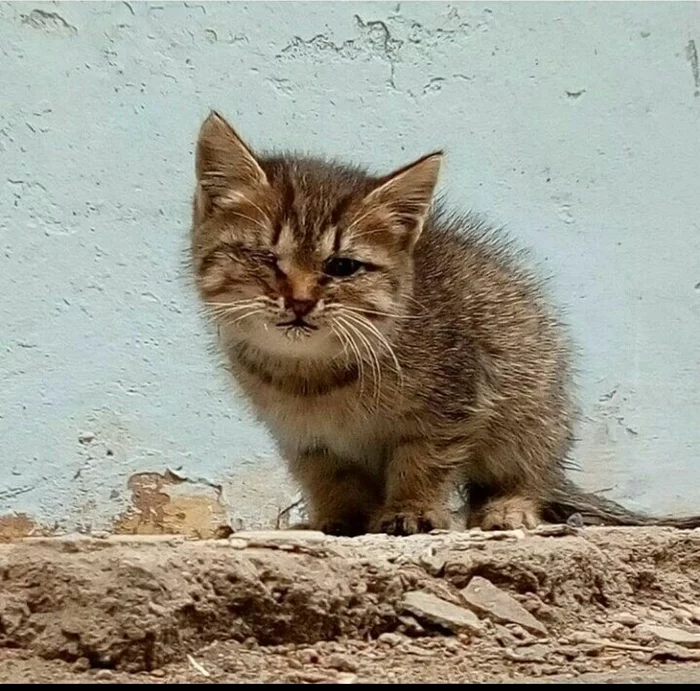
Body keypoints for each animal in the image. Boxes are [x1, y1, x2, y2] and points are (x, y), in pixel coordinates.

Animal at [189, 111, 700, 536]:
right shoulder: (304, 439)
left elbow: (423, 460)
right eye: (264, 258)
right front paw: (337, 519)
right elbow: (329, 479)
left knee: (530, 474)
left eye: (342, 267)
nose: (298, 301)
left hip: (529, 398)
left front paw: (411, 509)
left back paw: (510, 506)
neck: (311, 376)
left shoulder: (455, 398)